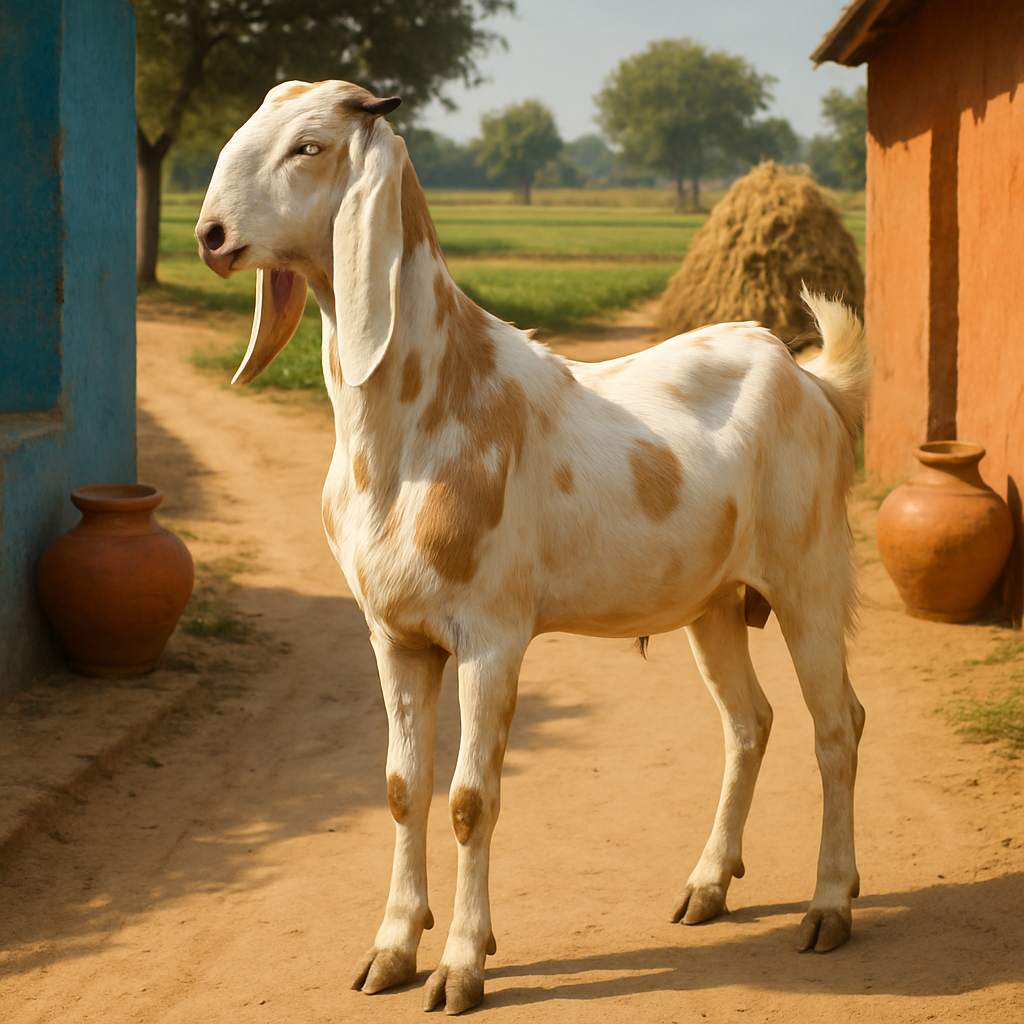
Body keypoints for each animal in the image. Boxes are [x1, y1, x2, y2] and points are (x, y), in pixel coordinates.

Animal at [197, 80, 870, 1016]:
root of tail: (816, 382)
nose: (211, 235)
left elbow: (469, 799)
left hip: (810, 573)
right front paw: (392, 952)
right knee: (749, 722)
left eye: (309, 146)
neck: (426, 414)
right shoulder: (394, 636)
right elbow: (402, 789)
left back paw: (829, 906)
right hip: (714, 601)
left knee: (837, 724)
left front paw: (462, 967)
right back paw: (707, 886)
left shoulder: (492, 635)